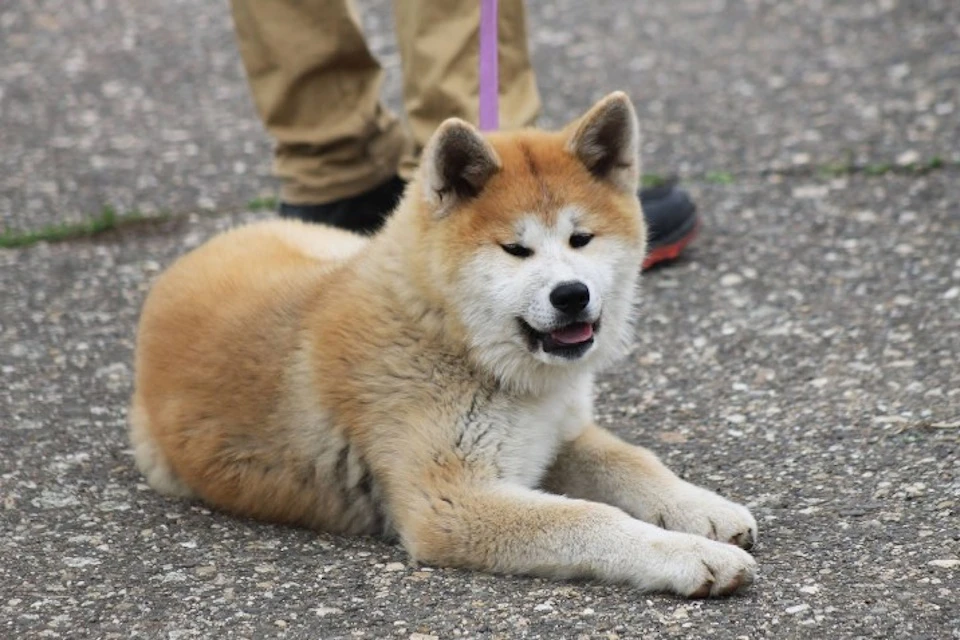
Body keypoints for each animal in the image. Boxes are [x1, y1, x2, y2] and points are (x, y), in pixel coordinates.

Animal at [129, 92, 756, 596]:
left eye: (582, 239)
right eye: (515, 250)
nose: (572, 295)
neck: (455, 340)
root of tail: (186, 261)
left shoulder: (559, 433)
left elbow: (634, 461)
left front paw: (703, 509)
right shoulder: (452, 504)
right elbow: (591, 518)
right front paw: (690, 556)